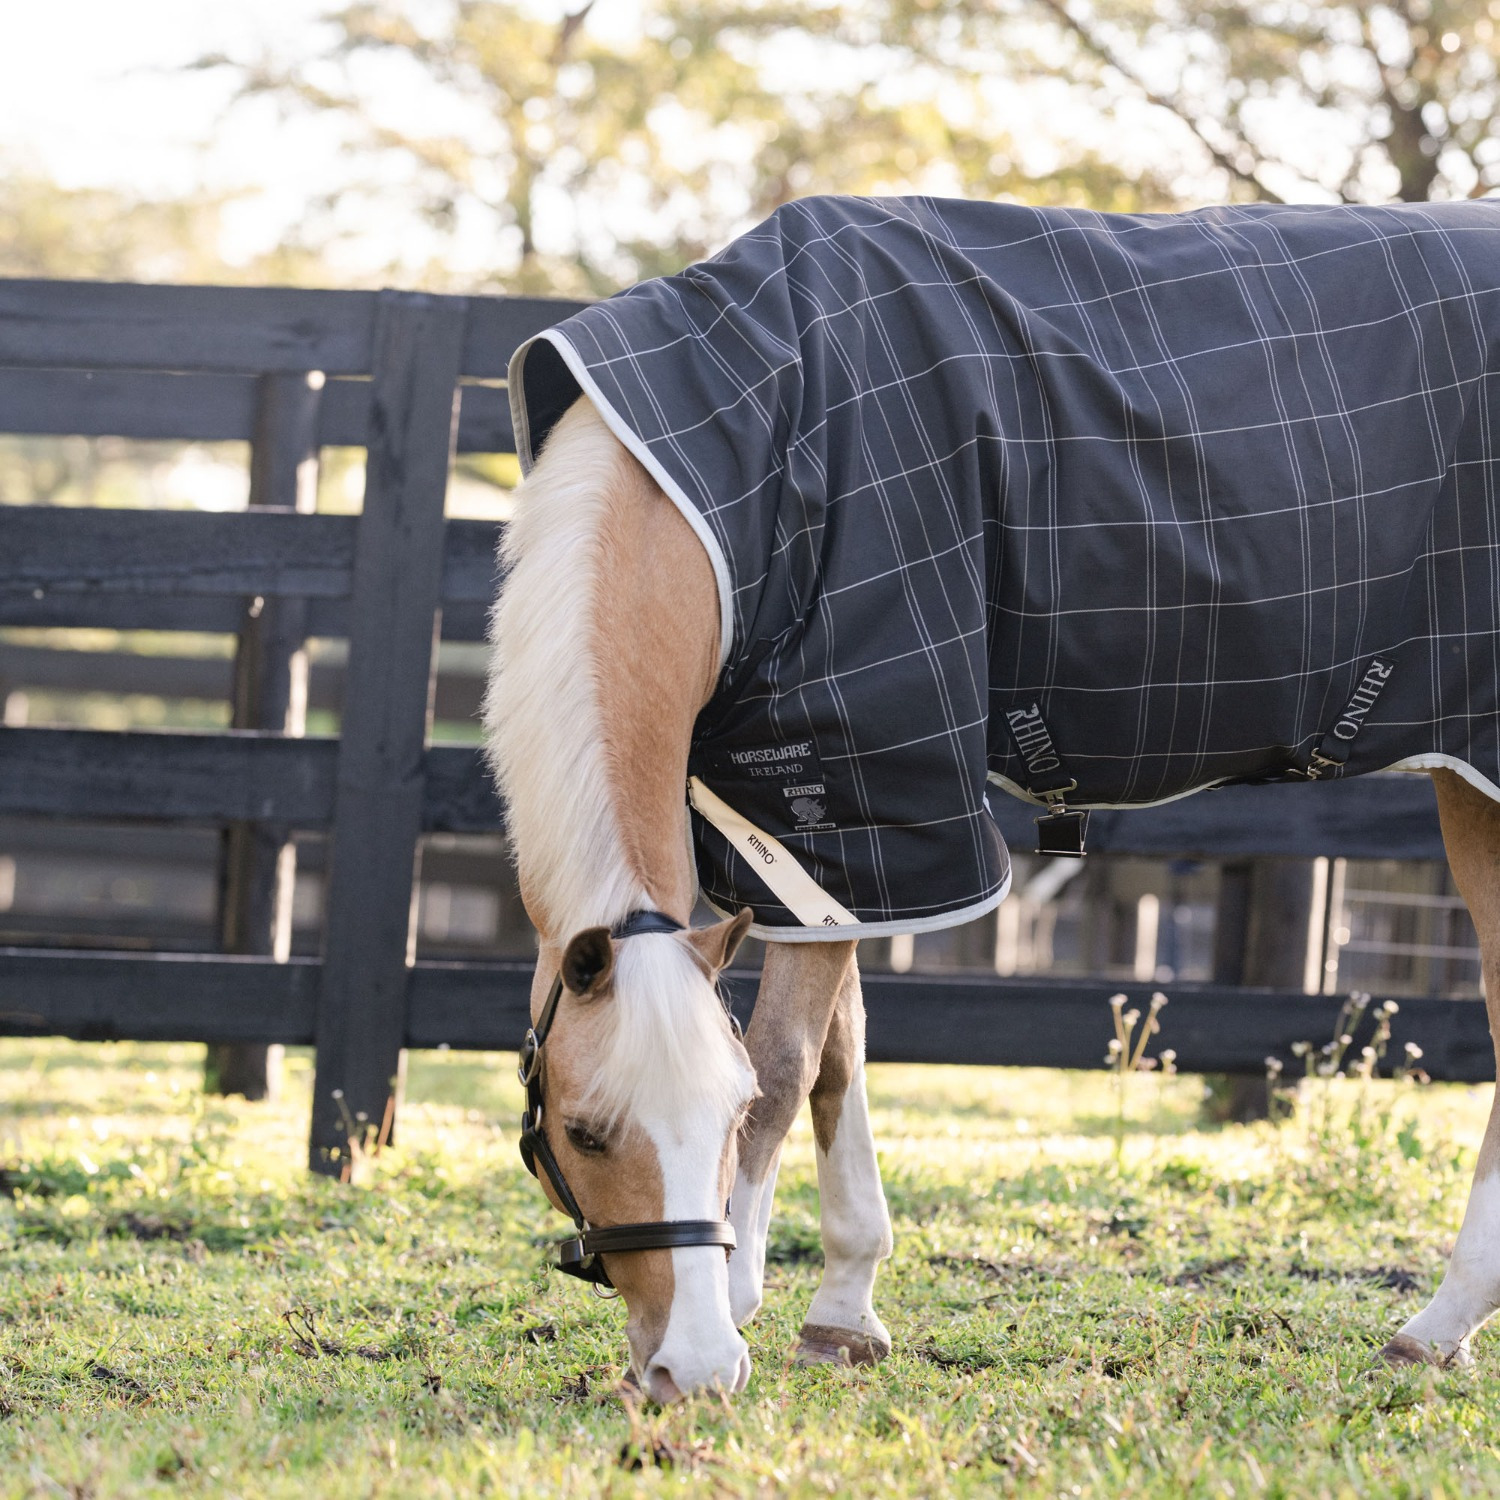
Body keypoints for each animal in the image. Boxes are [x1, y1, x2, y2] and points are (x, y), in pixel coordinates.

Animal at [485, 196, 1500, 1400]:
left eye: (721, 1119)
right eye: (586, 1133)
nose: (691, 1370)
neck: (744, 463)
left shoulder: (871, 782)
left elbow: (788, 1065)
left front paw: (745, 1300)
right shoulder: (819, 838)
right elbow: (840, 1056)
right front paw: (844, 1310)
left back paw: (1439, 1325)